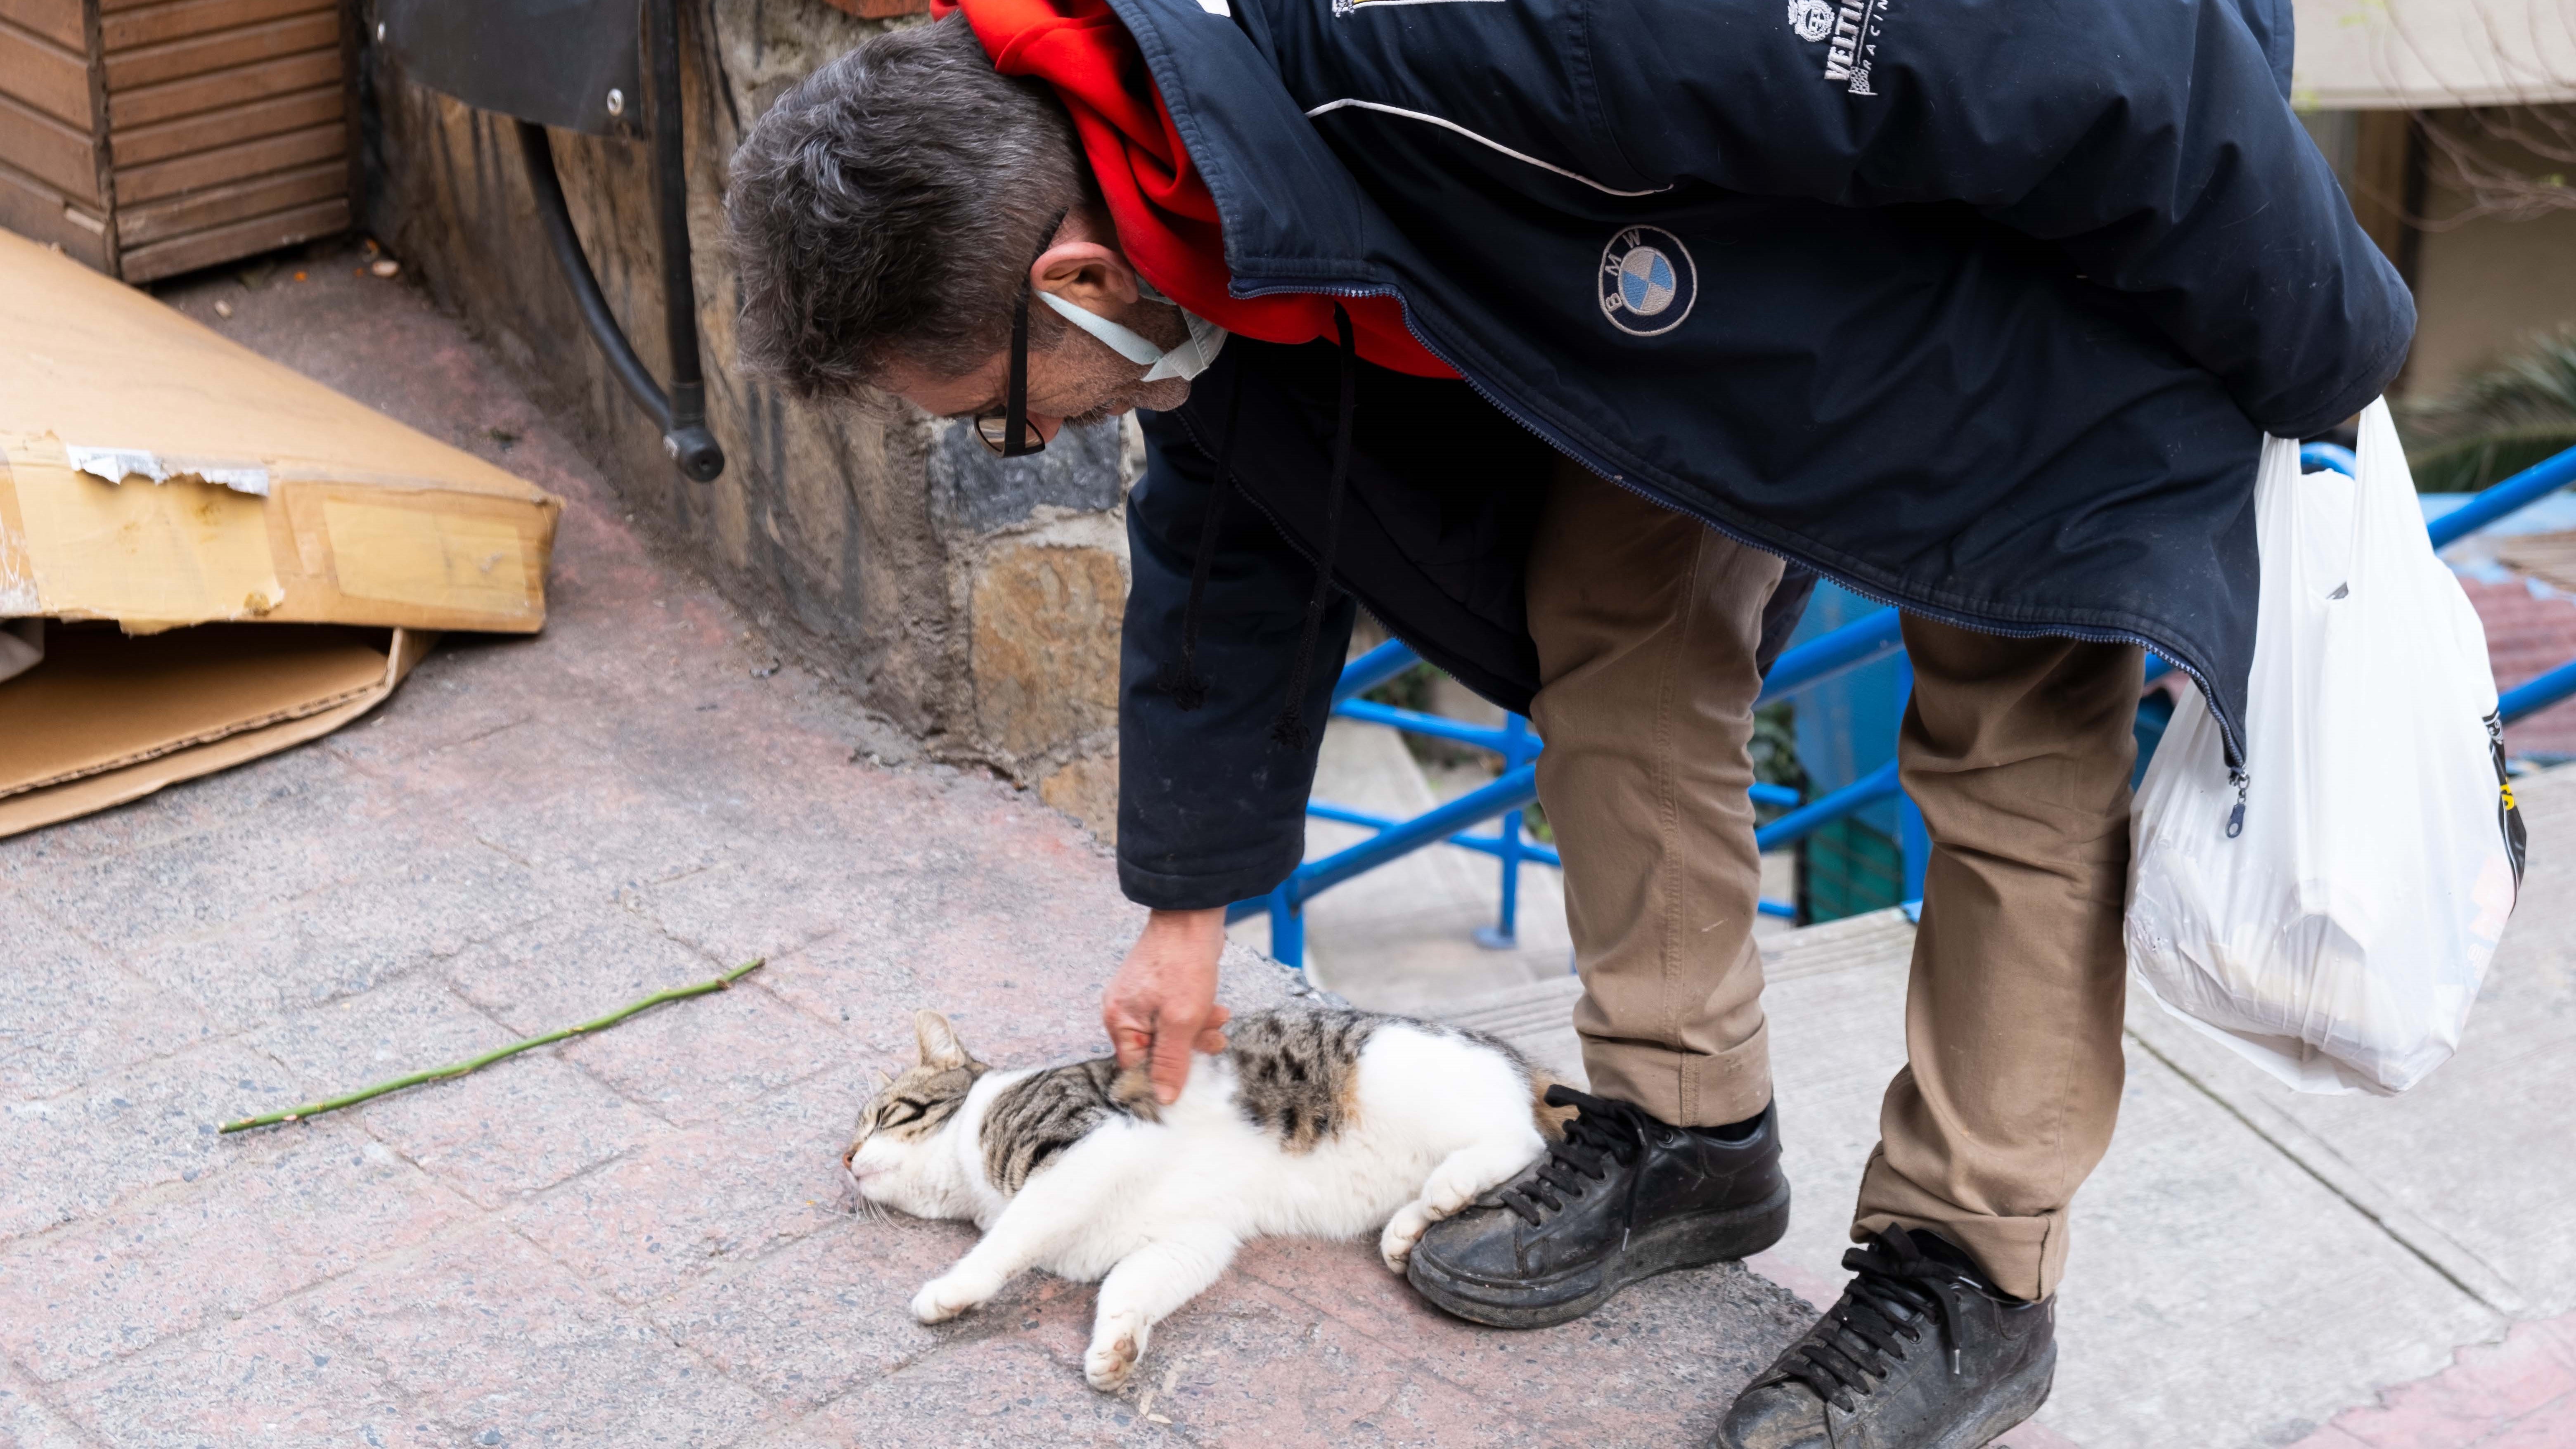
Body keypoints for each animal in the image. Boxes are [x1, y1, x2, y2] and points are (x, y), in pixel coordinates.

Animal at [845, 1000, 1566, 1382]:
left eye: (883, 1115)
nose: (845, 1157)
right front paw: (1117, 1347)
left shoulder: (1093, 1146)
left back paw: (1448, 1188)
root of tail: (1524, 1062)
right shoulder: (1194, 1237)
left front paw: (950, 1291)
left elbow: (1010, 1238)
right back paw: (1410, 1227)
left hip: (1430, 1097)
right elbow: (1129, 1285)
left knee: (1524, 1140)